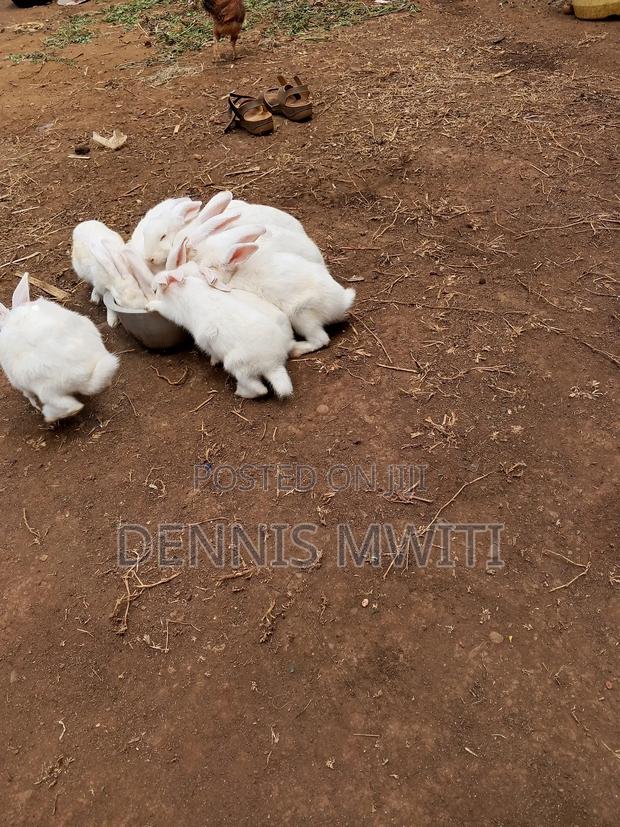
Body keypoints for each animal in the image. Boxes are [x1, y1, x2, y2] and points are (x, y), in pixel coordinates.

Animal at [0, 274, 119, 423]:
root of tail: (85, 376)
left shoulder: (16, 380)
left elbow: (27, 394)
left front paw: (33, 403)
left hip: (47, 390)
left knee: (72, 407)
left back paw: (49, 416)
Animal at [148, 238, 294, 399]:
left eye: (155, 290)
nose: (152, 290)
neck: (182, 285)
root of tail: (273, 364)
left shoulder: (171, 310)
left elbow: (161, 307)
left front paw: (150, 305)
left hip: (237, 366)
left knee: (259, 389)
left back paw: (239, 392)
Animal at [188, 229, 356, 357]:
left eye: (211, 266)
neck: (234, 274)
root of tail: (342, 302)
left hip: (302, 317)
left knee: (321, 340)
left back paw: (296, 349)